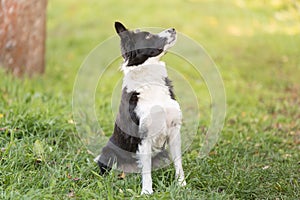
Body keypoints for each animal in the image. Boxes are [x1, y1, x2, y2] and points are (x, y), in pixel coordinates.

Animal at [95, 21, 185, 194]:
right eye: (148, 36)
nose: (173, 28)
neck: (150, 81)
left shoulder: (174, 130)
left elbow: (178, 163)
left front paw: (182, 184)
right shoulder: (143, 136)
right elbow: (146, 169)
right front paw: (147, 192)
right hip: (109, 152)